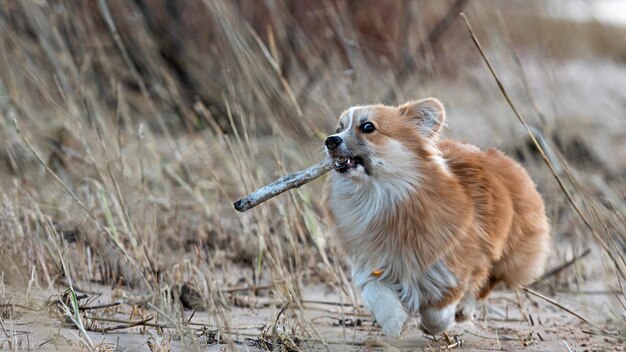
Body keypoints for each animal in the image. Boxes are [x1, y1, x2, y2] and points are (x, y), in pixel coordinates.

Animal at [322, 97, 544, 336]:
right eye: (340, 127)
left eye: (367, 127)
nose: (330, 141)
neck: (380, 197)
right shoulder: (372, 262)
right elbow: (378, 296)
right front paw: (396, 323)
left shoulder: (449, 268)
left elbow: (438, 312)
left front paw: (433, 325)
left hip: (505, 254)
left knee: (485, 282)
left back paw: (463, 310)